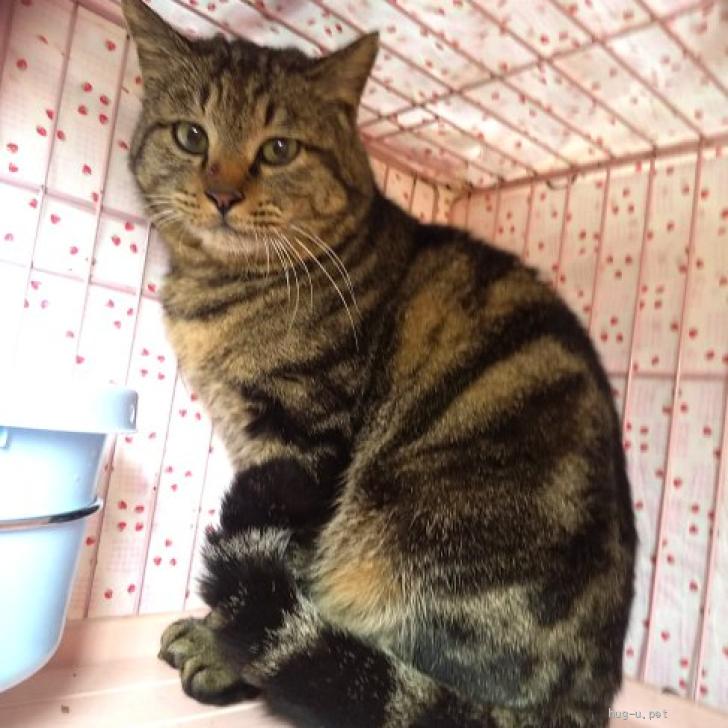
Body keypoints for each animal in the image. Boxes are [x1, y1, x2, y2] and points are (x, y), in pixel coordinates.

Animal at [121, 1, 636, 725]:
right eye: (192, 136)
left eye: (279, 148)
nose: (221, 194)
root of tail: (582, 705)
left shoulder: (302, 443)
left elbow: (281, 564)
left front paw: (220, 649)